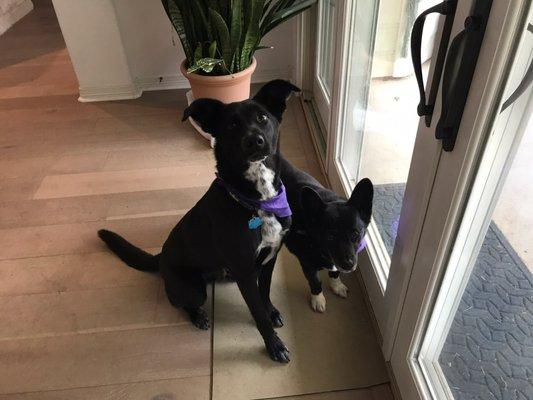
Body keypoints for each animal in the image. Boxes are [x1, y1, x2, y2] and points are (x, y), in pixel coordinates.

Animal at [98, 79, 302, 362]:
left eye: (262, 118)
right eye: (231, 125)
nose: (254, 141)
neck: (258, 200)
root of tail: (160, 258)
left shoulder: (270, 257)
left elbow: (265, 292)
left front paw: (271, 311)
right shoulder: (245, 271)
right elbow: (257, 312)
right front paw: (275, 345)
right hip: (194, 289)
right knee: (180, 302)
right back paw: (198, 316)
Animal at [280, 154, 372, 312]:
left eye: (355, 233)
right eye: (330, 236)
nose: (348, 265)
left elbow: (335, 272)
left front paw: (337, 286)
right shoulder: (307, 265)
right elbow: (315, 282)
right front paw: (318, 299)